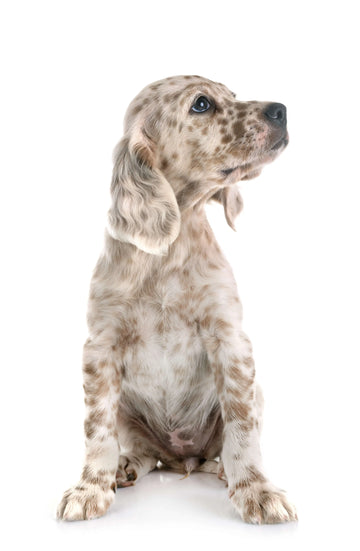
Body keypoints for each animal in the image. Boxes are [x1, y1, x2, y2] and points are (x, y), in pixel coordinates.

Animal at [57, 75, 296, 524]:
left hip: (255, 394)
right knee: (142, 452)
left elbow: (242, 429)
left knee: (224, 447)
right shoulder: (100, 347)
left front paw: (256, 490)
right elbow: (97, 431)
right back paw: (124, 467)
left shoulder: (230, 340)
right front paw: (90, 488)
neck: (169, 252)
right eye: (201, 104)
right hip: (130, 414)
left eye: (233, 96)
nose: (281, 110)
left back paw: (223, 471)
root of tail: (183, 458)